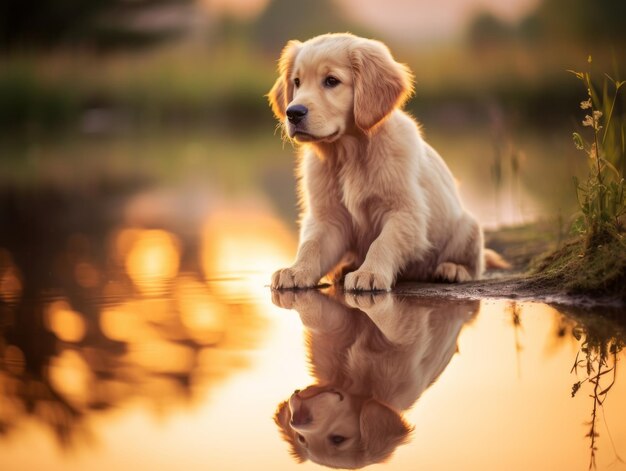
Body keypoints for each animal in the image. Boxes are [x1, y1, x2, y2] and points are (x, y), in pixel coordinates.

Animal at [266, 32, 504, 292]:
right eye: (297, 82)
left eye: (331, 81)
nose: (293, 113)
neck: (349, 154)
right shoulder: (327, 217)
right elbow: (312, 244)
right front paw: (297, 270)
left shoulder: (406, 212)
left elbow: (382, 242)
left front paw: (369, 273)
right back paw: (345, 267)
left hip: (467, 227)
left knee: (476, 264)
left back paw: (453, 269)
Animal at [270, 290, 476, 470]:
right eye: (302, 439)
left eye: (338, 439)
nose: (297, 420)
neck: (357, 383)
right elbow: (320, 317)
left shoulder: (408, 336)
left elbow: (393, 322)